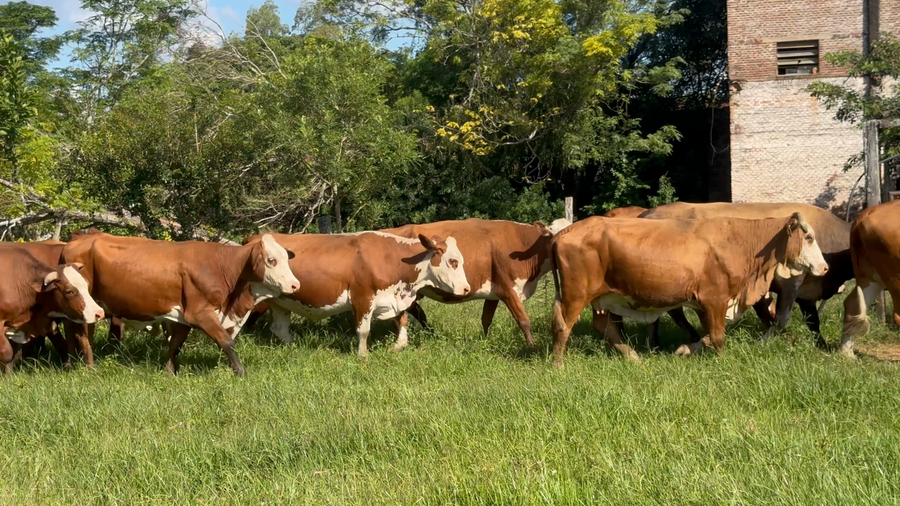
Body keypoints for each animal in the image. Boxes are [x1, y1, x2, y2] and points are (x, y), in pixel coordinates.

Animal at [61, 233, 300, 376]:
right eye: (271, 260)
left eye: (286, 259)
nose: (295, 284)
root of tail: (78, 238)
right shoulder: (200, 313)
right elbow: (226, 341)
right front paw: (241, 372)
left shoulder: (184, 317)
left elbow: (175, 344)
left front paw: (169, 372)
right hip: (84, 305)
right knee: (82, 334)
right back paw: (88, 367)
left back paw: (72, 362)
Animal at [247, 231, 470, 356]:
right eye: (453, 261)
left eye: (460, 260)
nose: (467, 288)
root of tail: (254, 238)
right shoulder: (362, 297)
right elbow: (363, 330)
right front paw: (363, 356)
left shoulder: (395, 298)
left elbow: (403, 327)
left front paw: (395, 348)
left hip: (280, 302)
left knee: (279, 329)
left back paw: (295, 348)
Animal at [380, 218, 570, 351]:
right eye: (554, 235)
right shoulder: (508, 290)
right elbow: (524, 320)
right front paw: (532, 347)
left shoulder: (495, 292)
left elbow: (486, 319)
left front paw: (485, 340)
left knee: (417, 312)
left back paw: (430, 333)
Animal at [547, 213, 828, 366]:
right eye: (809, 237)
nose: (825, 268)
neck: (739, 240)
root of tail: (564, 232)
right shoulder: (715, 298)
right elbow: (717, 336)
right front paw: (718, 359)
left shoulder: (706, 303)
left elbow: (707, 334)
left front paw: (685, 350)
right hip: (575, 295)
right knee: (563, 325)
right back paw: (558, 365)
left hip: (603, 298)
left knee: (604, 327)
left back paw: (633, 357)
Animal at [639, 202, 853, 346]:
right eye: (807, 237)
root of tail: (647, 213)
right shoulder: (790, 284)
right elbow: (781, 318)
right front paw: (764, 342)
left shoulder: (805, 295)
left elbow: (812, 322)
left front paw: (822, 346)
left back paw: (657, 343)